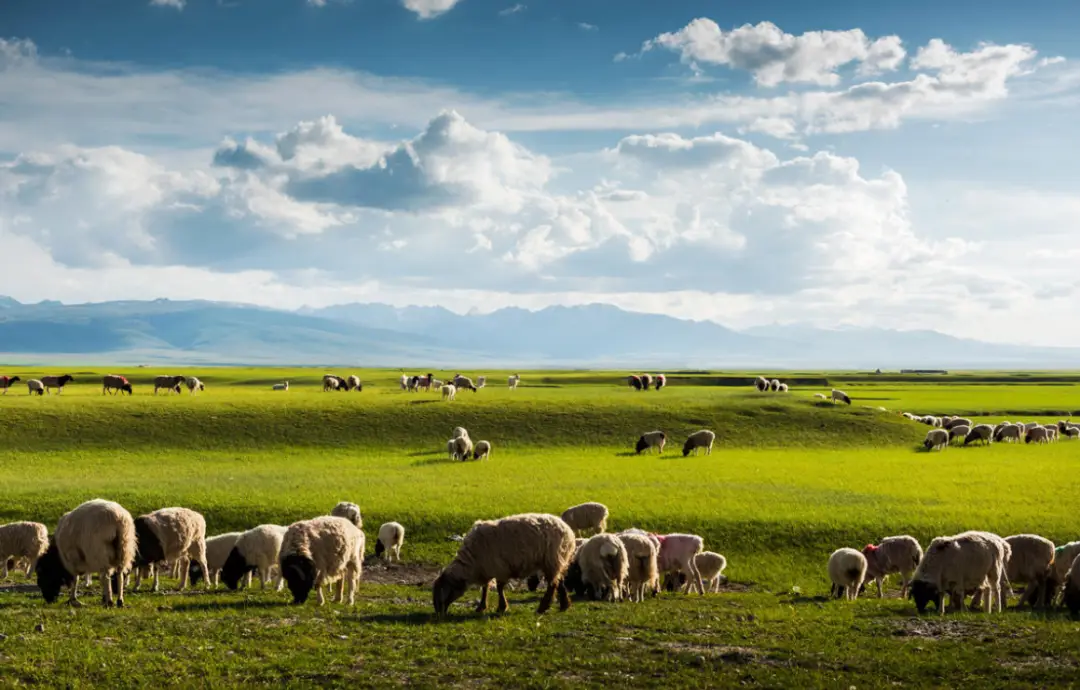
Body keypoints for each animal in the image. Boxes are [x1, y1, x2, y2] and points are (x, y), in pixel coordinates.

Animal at [432, 513, 578, 613]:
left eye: (442, 591)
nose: (439, 613)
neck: (471, 562)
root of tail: (568, 530)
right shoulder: (487, 569)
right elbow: (485, 588)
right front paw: (481, 606)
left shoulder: (499, 568)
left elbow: (499, 587)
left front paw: (501, 607)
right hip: (557, 561)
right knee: (559, 581)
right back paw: (564, 605)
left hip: (551, 559)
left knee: (552, 584)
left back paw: (543, 607)